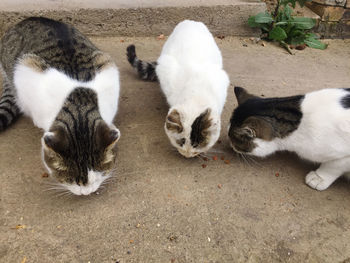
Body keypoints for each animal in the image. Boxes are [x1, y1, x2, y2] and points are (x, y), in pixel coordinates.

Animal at [0, 17, 120, 196]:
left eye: (99, 177)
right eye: (70, 180)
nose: (86, 193)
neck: (79, 106)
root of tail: (28, 19)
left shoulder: (107, 68)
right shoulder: (27, 70)